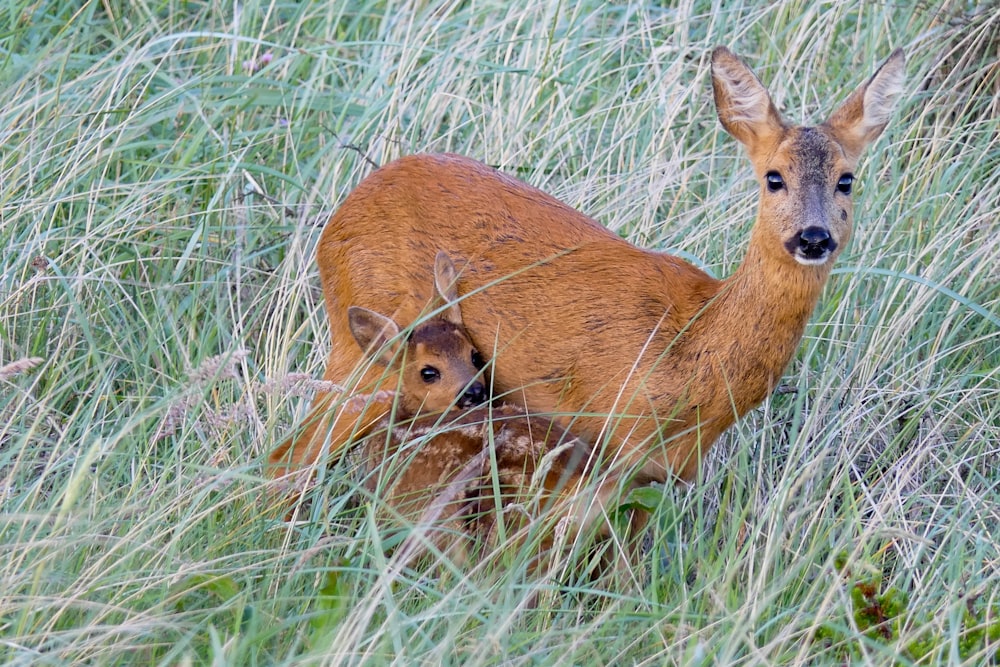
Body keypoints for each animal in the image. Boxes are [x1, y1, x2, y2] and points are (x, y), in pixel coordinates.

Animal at [272, 48, 908, 512]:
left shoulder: (661, 473)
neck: (692, 349)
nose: (813, 237)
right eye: (773, 177)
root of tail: (339, 218)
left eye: (846, 179)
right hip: (365, 355)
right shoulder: (607, 442)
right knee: (289, 458)